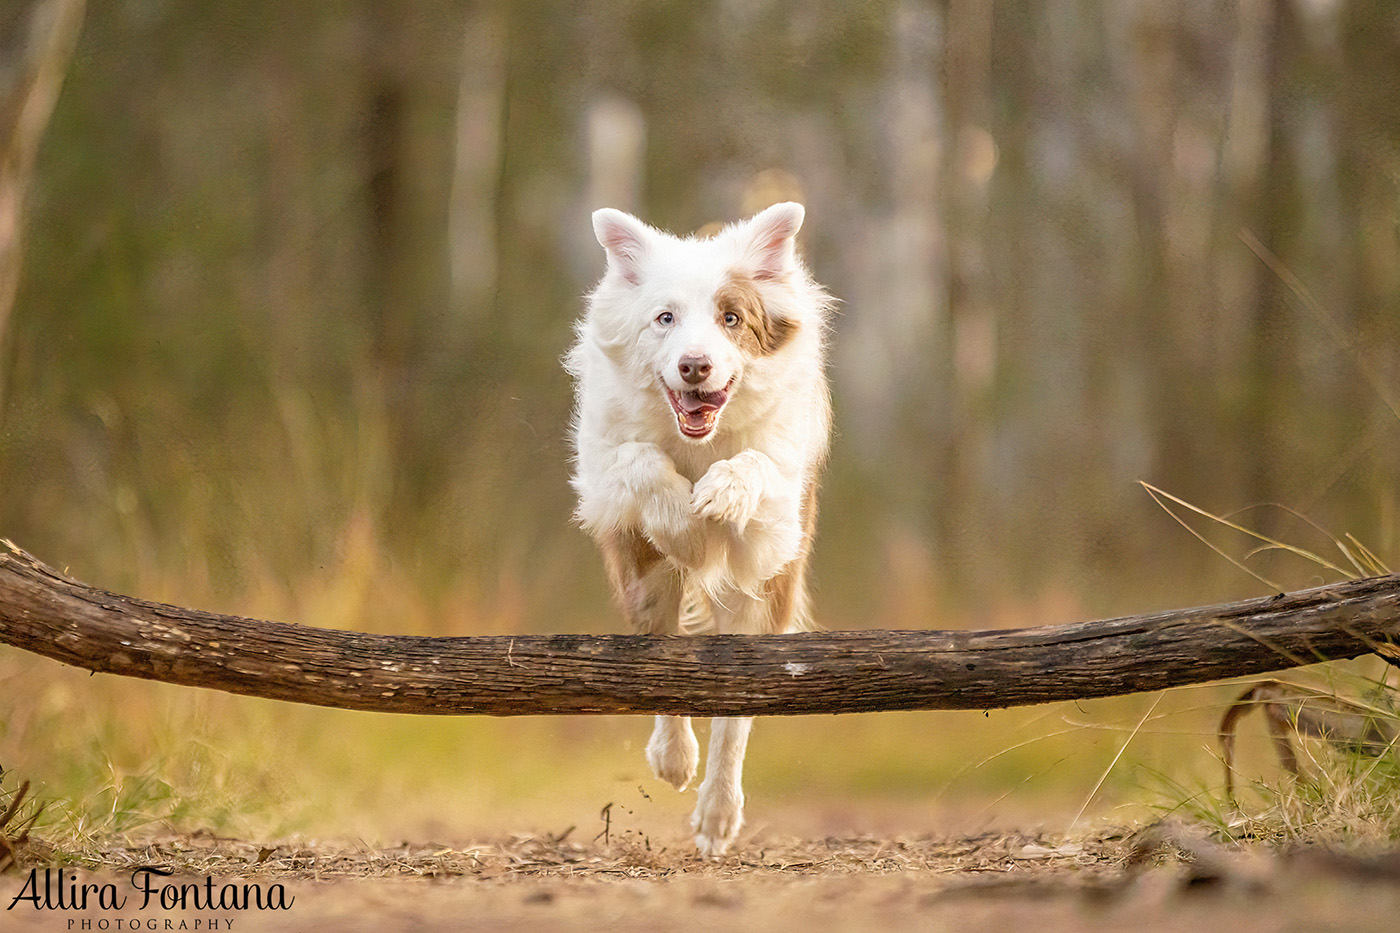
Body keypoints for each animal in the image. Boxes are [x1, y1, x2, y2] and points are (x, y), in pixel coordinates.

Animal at [565, 200, 828, 851]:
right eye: (665, 318)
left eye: (731, 318)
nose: (694, 365)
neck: (698, 442)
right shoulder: (607, 475)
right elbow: (642, 463)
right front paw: (683, 522)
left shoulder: (771, 537)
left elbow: (753, 464)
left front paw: (719, 493)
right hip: (647, 582)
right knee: (662, 654)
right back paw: (675, 758)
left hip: (758, 606)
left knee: (734, 716)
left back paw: (717, 813)